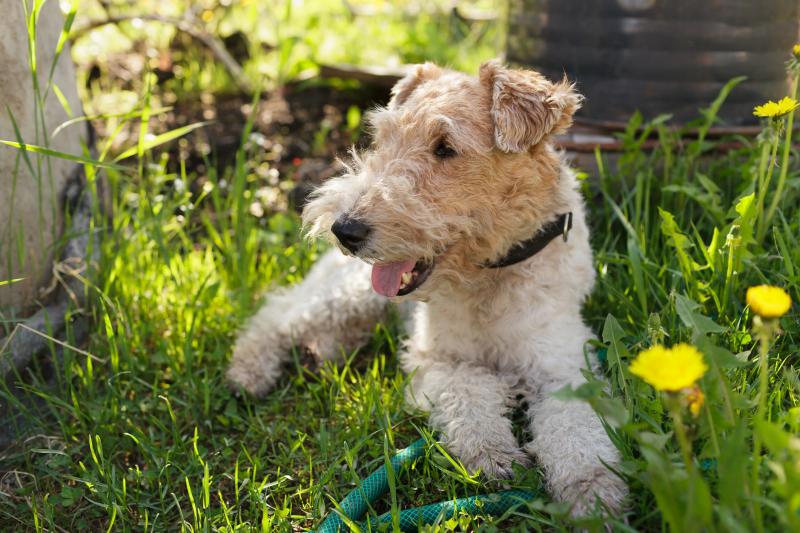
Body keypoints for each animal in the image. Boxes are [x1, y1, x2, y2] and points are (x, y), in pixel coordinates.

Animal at [228, 60, 628, 512]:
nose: (344, 230)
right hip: (347, 295)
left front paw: (593, 495)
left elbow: (578, 434)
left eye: (445, 148)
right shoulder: (439, 358)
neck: (490, 273)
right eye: (382, 138)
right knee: (276, 316)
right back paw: (248, 374)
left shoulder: (565, 368)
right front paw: (492, 455)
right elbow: (470, 395)